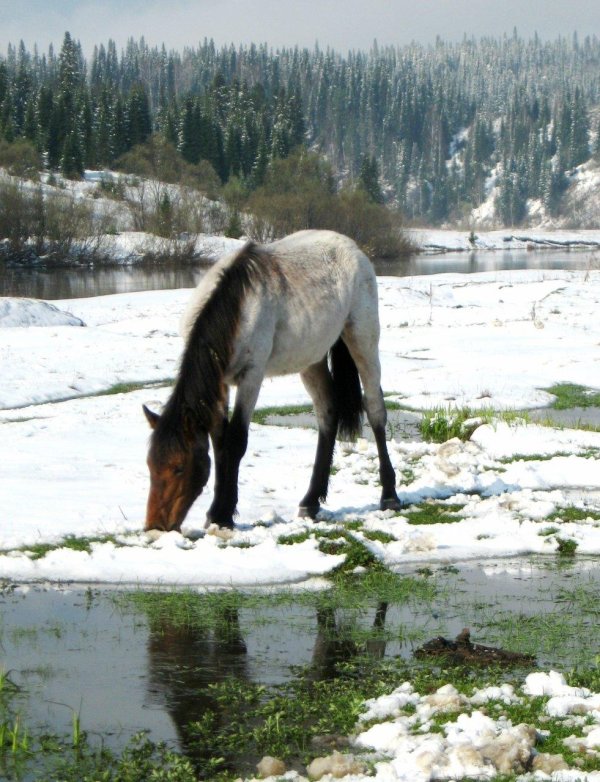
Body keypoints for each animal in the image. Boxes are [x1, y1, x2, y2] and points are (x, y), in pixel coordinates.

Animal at [143, 229, 401, 532]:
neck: (236, 307)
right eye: (150, 465)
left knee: (375, 409)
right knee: (328, 413)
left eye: (179, 467)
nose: (155, 526)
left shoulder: (251, 376)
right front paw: (216, 511)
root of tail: (352, 247)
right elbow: (219, 442)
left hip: (363, 341)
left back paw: (389, 495)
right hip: (311, 359)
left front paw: (222, 514)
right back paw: (310, 501)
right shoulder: (221, 384)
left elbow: (236, 440)